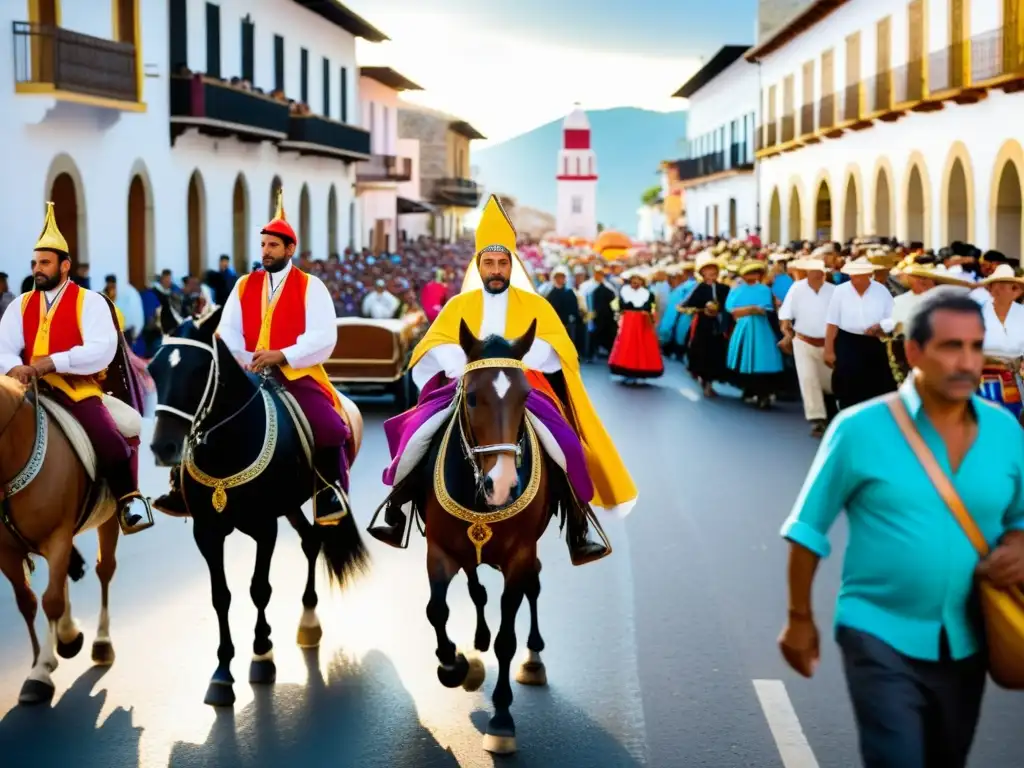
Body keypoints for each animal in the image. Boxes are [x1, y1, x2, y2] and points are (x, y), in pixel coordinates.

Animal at [0, 376, 122, 708]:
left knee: (104, 569)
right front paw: (38, 660)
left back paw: (100, 642)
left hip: (108, 518)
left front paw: (41, 671)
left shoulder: (57, 534)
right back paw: (68, 636)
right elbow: (27, 602)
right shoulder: (6, 551)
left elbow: (51, 600)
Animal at [144, 303, 368, 708]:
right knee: (310, 540)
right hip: (290, 505)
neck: (227, 446)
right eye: (153, 369)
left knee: (315, 539)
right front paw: (222, 673)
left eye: (199, 370)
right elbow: (221, 596)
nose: (163, 447)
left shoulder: (265, 526)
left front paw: (262, 653)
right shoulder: (207, 531)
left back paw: (308, 623)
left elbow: (259, 588)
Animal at [419, 319, 577, 757]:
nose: (502, 485)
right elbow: (437, 611)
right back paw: (476, 641)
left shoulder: (519, 557)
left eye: (526, 396)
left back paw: (533, 660)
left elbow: (508, 636)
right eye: (472, 397)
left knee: (532, 588)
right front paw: (455, 666)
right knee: (476, 588)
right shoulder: (439, 551)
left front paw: (502, 719)